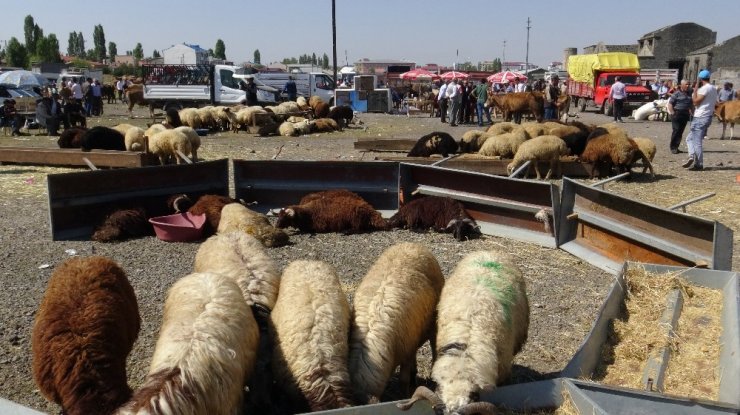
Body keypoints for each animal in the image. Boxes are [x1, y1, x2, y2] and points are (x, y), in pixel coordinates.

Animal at [348, 242, 446, 404]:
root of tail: (411, 244)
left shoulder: (407, 352)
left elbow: (403, 380)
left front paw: (404, 395)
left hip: (433, 323)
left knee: (433, 346)